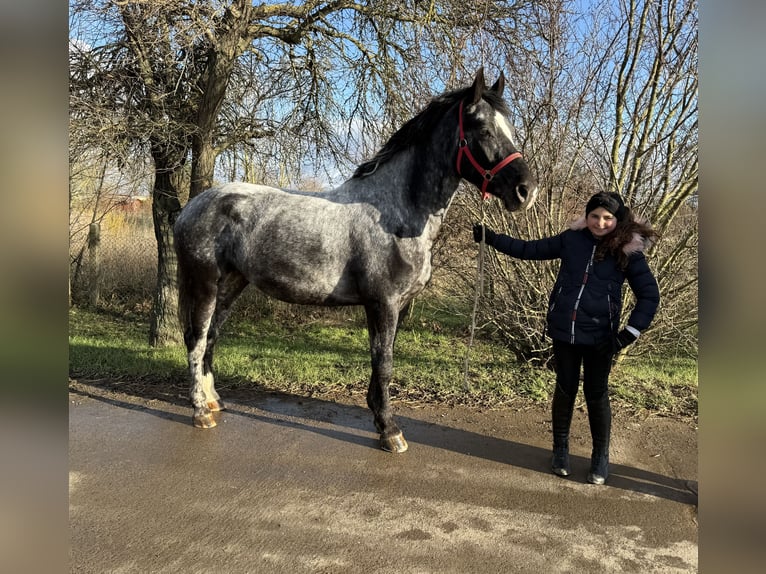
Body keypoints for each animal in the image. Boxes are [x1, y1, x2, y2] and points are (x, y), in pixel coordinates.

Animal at [174, 67, 540, 454]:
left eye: (510, 128)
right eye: (483, 128)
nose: (526, 191)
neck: (395, 213)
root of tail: (190, 208)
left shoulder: (398, 307)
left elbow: (383, 361)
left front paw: (379, 416)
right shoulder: (383, 303)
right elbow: (384, 363)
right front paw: (390, 431)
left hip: (231, 284)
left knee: (211, 337)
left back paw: (215, 401)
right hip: (204, 283)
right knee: (196, 339)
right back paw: (201, 412)